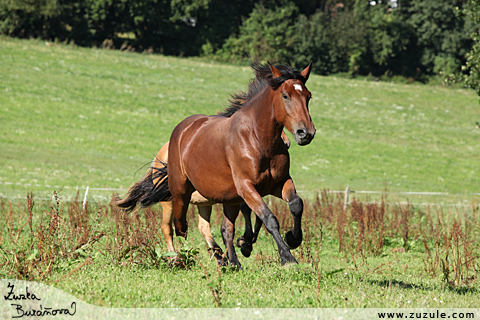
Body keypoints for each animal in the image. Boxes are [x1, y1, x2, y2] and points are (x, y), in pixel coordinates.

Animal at [148, 61, 316, 266]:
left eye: (308, 96)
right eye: (285, 96)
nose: (305, 133)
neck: (258, 140)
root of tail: (182, 129)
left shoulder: (278, 183)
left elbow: (296, 204)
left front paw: (292, 239)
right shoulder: (246, 187)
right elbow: (268, 218)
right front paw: (287, 256)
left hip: (219, 200)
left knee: (215, 227)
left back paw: (228, 261)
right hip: (177, 194)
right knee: (174, 226)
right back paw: (177, 258)